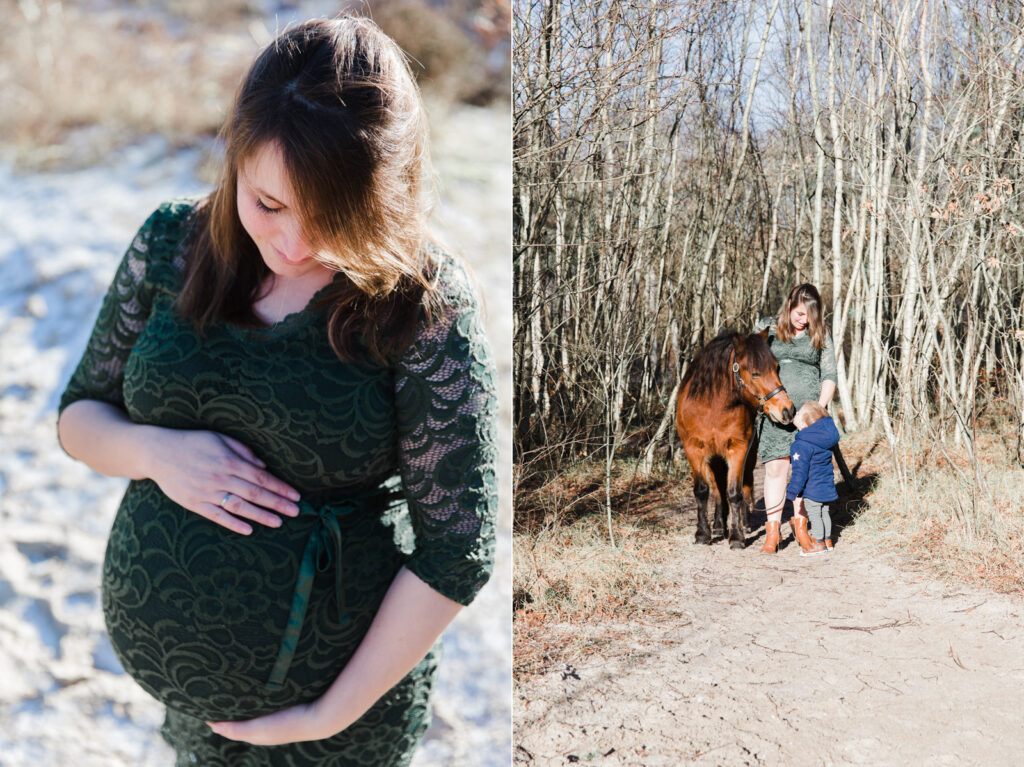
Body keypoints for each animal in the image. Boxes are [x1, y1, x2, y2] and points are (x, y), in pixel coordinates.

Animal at [675, 325, 794, 548]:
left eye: (777, 368)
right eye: (755, 373)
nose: (788, 410)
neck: (712, 407)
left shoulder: (737, 449)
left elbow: (734, 492)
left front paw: (737, 536)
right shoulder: (693, 449)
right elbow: (703, 491)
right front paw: (702, 533)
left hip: (749, 453)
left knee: (744, 483)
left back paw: (744, 524)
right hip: (714, 458)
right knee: (717, 489)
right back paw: (718, 525)